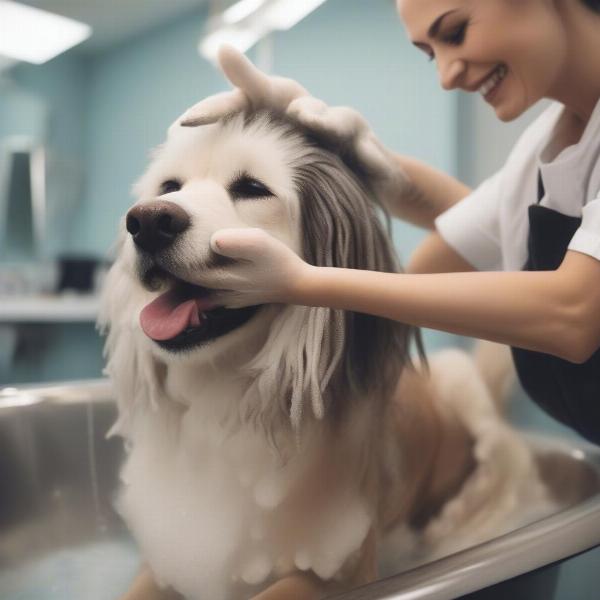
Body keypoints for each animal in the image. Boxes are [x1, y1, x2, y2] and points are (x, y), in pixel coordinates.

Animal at [99, 109, 556, 600]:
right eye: (168, 187)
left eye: (252, 188)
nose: (147, 221)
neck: (222, 397)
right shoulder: (167, 561)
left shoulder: (340, 570)